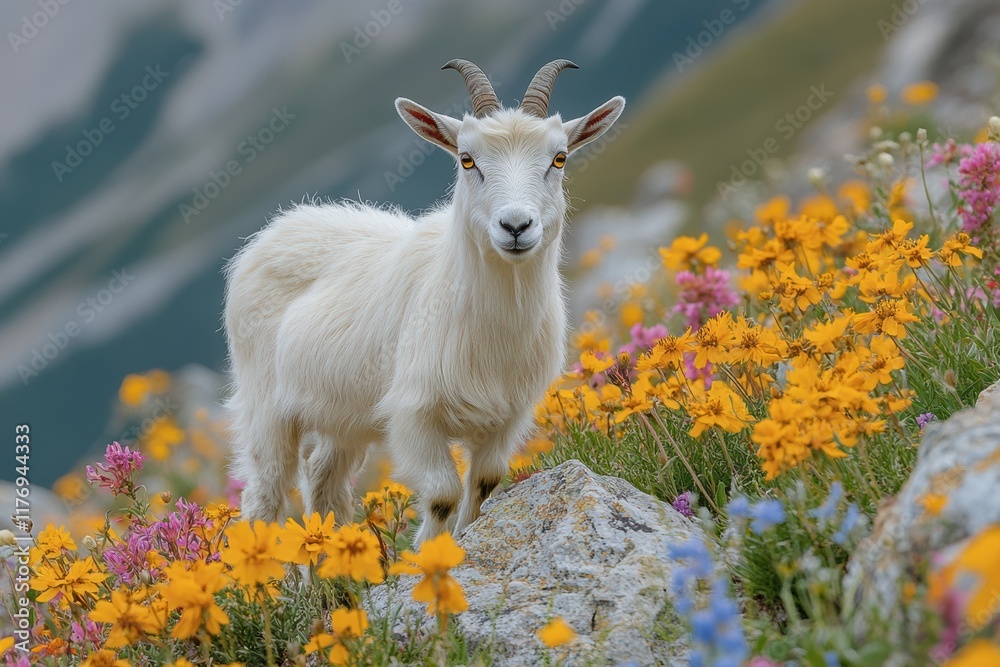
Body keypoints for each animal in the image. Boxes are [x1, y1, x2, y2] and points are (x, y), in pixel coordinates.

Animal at [224, 59, 624, 543]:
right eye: (467, 159)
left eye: (559, 158)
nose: (515, 226)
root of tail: (280, 226)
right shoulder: (413, 413)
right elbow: (442, 494)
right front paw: (428, 554)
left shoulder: (508, 416)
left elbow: (485, 481)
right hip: (265, 405)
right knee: (263, 494)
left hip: (342, 414)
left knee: (324, 482)